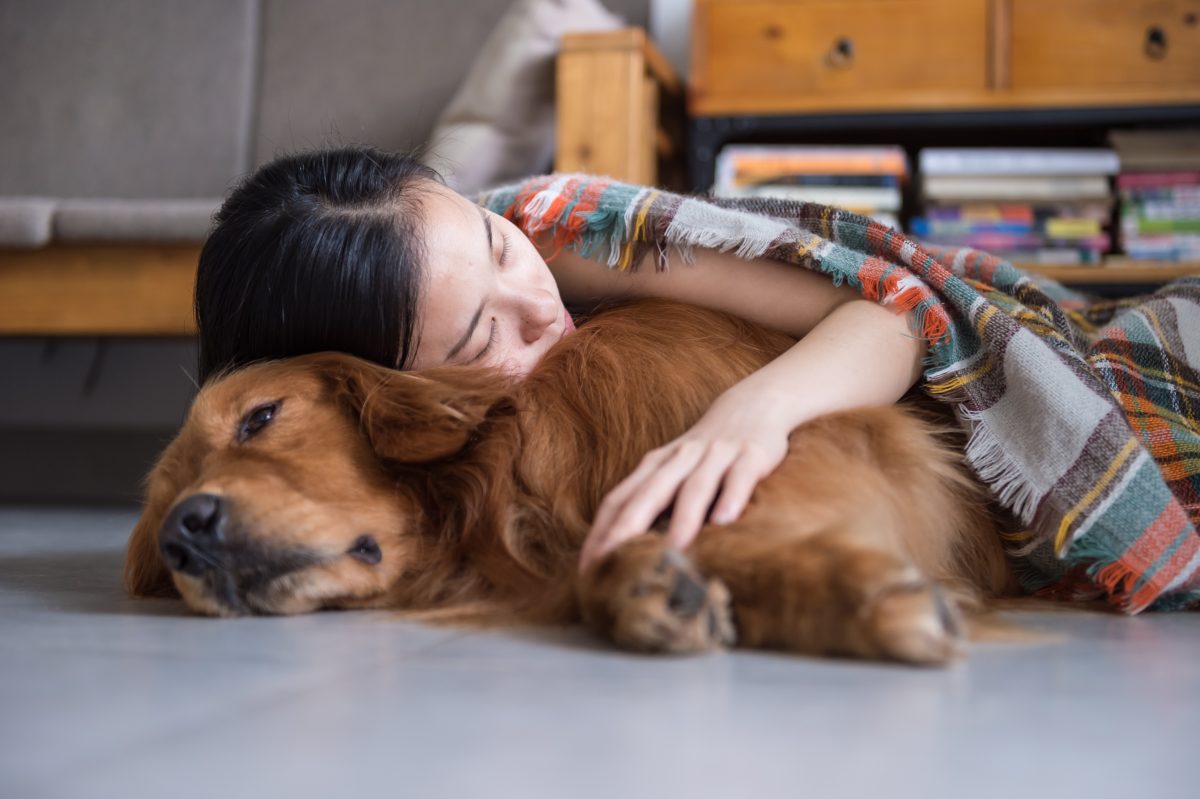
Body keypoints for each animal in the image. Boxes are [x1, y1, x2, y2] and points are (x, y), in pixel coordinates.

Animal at [129, 298, 1012, 657]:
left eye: (259, 417)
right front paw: (645, 583)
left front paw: (867, 596)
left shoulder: (827, 430)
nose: (184, 533)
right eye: (164, 506)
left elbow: (723, 517)